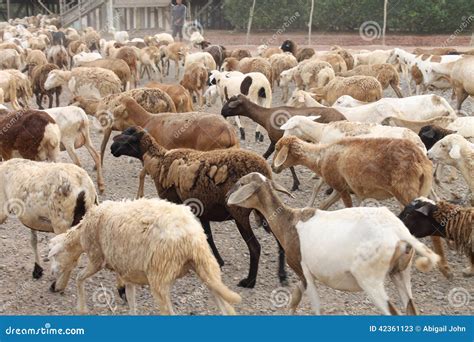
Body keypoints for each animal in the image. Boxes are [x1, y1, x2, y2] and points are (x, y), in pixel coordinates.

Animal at [48, 198, 241, 316]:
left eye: (53, 256)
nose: (52, 274)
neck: (81, 234)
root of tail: (192, 237)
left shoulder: (97, 258)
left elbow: (79, 278)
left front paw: (81, 308)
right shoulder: (128, 272)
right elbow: (132, 301)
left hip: (159, 275)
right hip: (207, 267)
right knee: (227, 309)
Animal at [112, 126, 286, 288]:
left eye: (129, 136)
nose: (112, 147)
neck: (160, 161)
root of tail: (265, 172)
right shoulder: (202, 210)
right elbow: (208, 235)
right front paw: (218, 261)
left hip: (240, 213)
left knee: (255, 247)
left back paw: (249, 281)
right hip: (266, 209)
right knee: (280, 237)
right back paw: (282, 275)